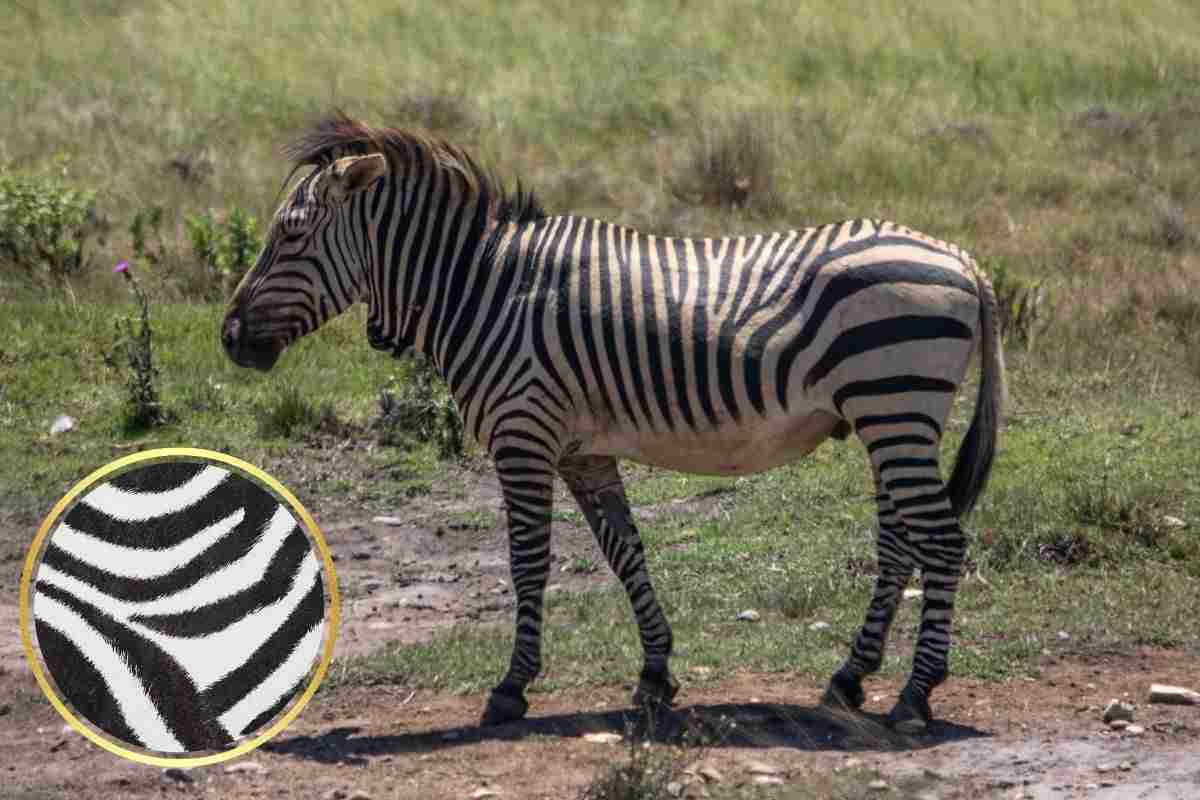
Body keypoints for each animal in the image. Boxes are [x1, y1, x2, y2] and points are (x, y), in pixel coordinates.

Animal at [222, 114, 1005, 733]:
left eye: (289, 235)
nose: (229, 340)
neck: (480, 288)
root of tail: (966, 260)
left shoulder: (523, 436)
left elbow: (528, 562)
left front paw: (512, 687)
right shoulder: (580, 449)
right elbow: (625, 552)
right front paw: (656, 674)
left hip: (895, 403)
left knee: (940, 541)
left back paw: (914, 696)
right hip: (889, 416)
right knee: (900, 542)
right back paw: (849, 678)